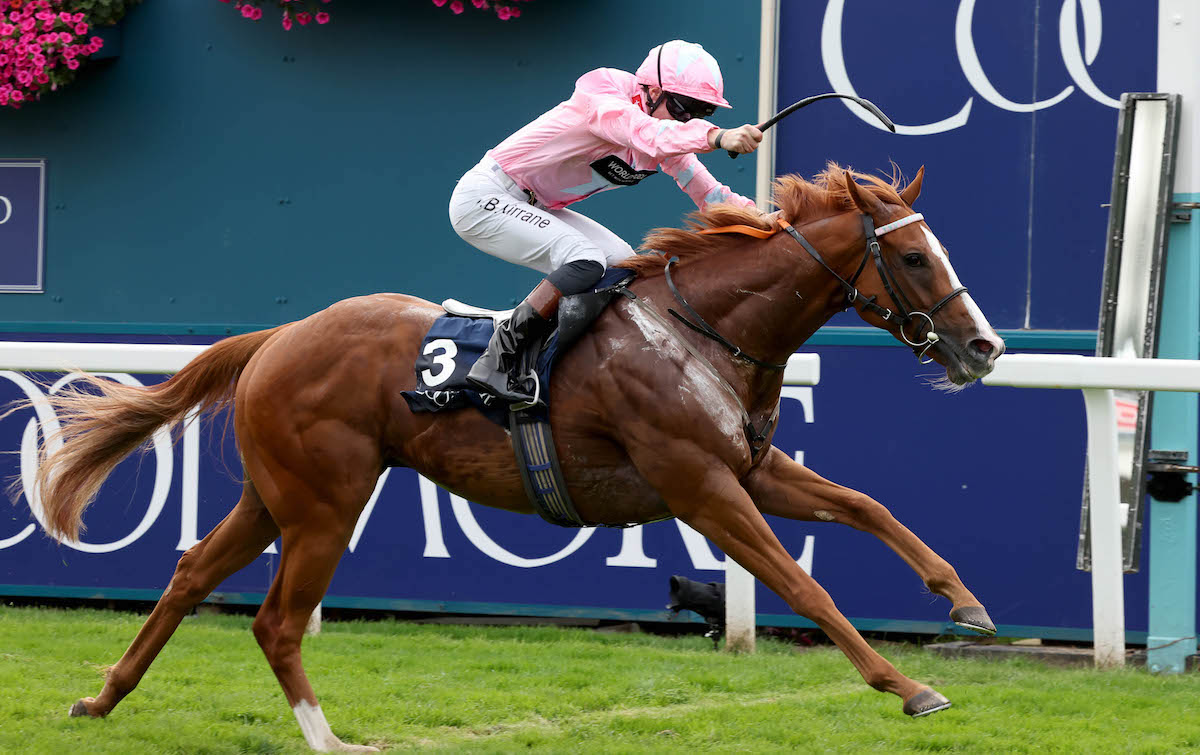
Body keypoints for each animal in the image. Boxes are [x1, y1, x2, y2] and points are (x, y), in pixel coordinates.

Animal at [25, 162, 1003, 748]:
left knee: (192, 573)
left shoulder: (754, 468)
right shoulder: (697, 482)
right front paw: (907, 683)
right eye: (916, 258)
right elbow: (803, 583)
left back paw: (101, 697)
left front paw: (964, 600)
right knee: (276, 620)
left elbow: (869, 506)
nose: (984, 347)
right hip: (324, 501)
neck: (706, 329)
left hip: (275, 494)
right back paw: (328, 737)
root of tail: (278, 336)